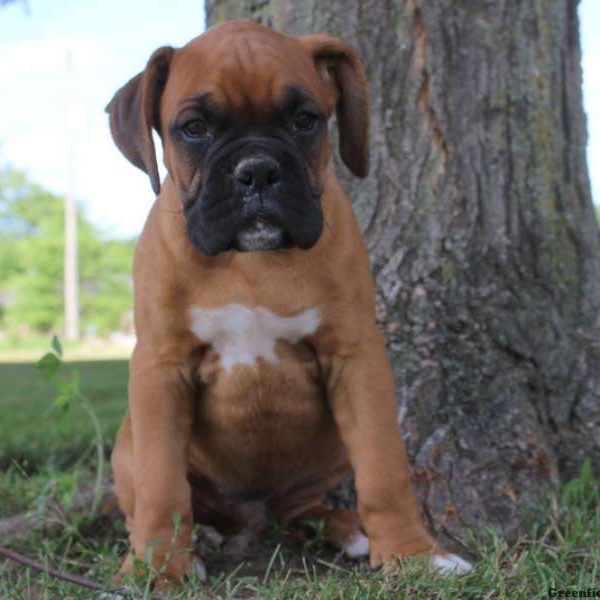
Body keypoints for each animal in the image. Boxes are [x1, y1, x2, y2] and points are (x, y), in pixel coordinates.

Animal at [108, 21, 474, 588]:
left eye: (305, 121)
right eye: (193, 128)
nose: (257, 171)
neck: (251, 263)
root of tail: (253, 519)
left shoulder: (356, 357)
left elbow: (384, 467)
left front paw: (413, 555)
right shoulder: (160, 368)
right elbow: (160, 483)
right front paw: (156, 570)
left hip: (324, 460)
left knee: (309, 508)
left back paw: (350, 529)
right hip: (127, 443)